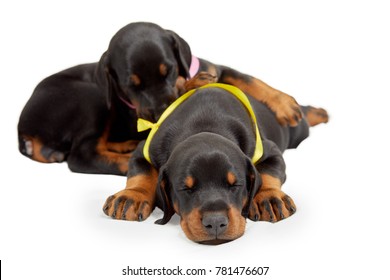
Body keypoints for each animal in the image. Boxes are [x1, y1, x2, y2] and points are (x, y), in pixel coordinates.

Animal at [18, 21, 304, 175]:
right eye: (131, 86)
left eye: (169, 70)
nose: (163, 111)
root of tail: (24, 130)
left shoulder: (216, 69)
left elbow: (247, 78)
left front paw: (285, 104)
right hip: (90, 96)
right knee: (82, 155)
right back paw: (130, 159)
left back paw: (126, 145)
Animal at [103, 82, 330, 243]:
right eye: (186, 189)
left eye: (235, 185)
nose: (215, 223)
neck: (204, 124)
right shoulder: (144, 149)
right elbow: (140, 173)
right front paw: (131, 196)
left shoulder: (270, 151)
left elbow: (269, 172)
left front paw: (269, 197)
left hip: (297, 129)